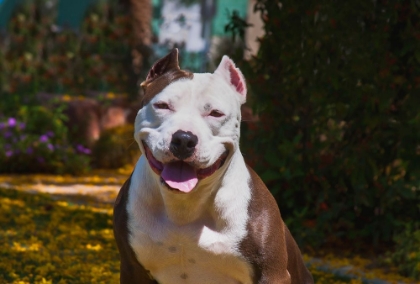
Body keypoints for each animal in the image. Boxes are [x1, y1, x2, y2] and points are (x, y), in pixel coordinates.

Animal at [113, 49, 314, 284]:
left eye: (215, 113)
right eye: (162, 106)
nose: (184, 139)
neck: (185, 205)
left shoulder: (272, 273)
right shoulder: (132, 269)